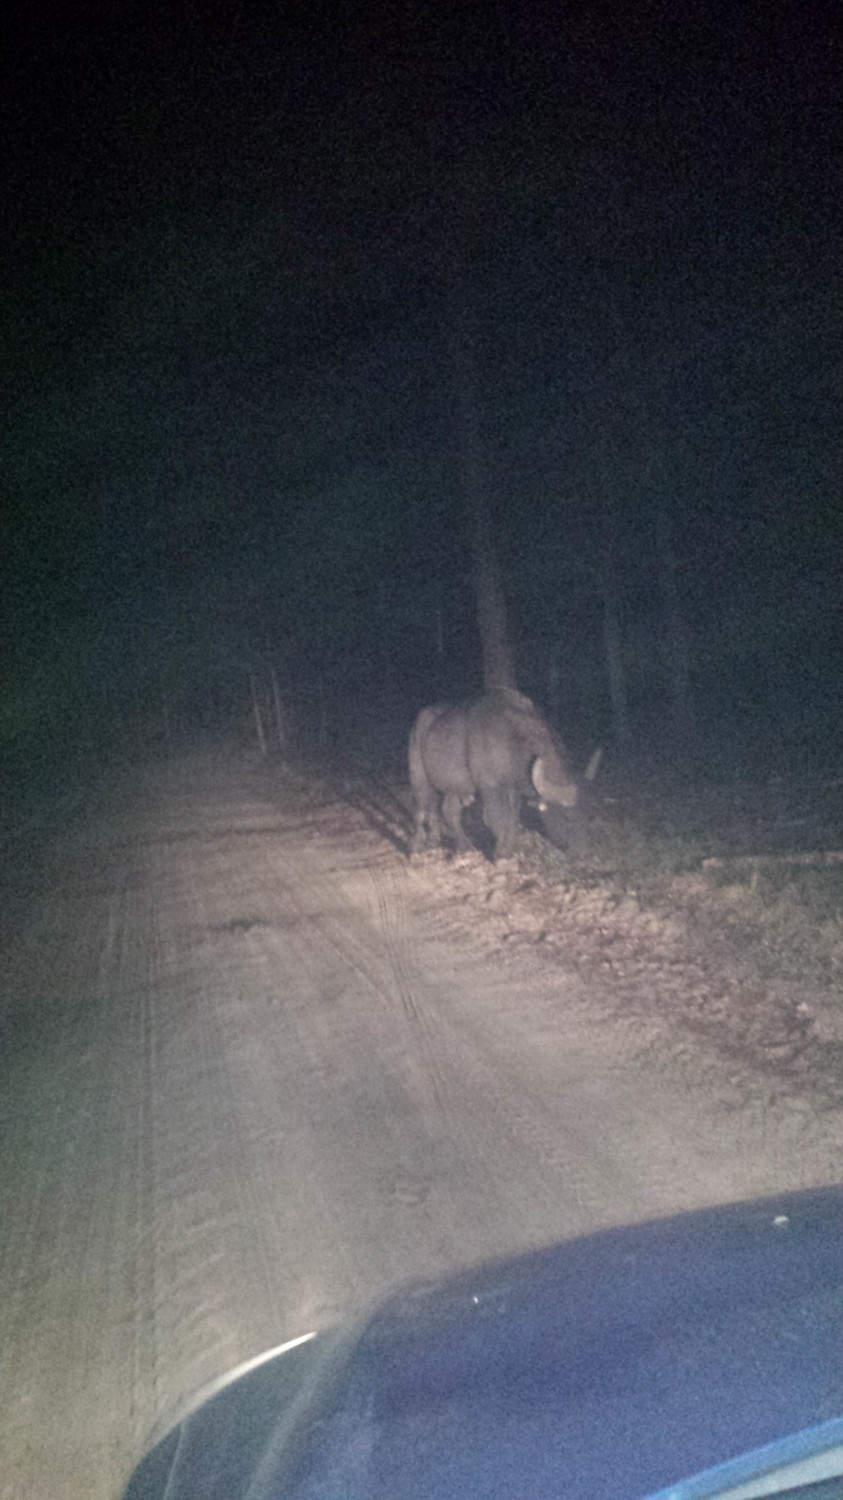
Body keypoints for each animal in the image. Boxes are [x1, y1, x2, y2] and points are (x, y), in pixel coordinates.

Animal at [411, 687, 582, 864]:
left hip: (453, 787)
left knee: (448, 811)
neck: (510, 741)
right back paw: (417, 846)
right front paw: (501, 853)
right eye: (566, 816)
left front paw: (510, 848)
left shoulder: (513, 790)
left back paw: (458, 845)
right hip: (419, 776)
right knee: (421, 810)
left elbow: (512, 819)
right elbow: (498, 819)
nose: (575, 847)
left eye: (578, 814)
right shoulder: (490, 787)